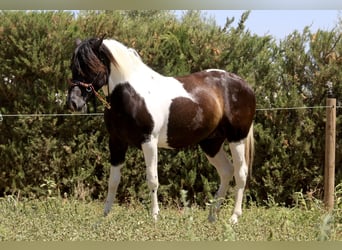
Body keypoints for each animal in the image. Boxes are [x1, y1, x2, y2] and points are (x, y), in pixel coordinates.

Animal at [66, 36, 256, 224]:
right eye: (73, 67)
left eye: (90, 67)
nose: (73, 103)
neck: (133, 95)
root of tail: (244, 85)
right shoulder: (116, 142)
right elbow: (113, 180)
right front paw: (104, 217)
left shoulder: (149, 141)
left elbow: (152, 179)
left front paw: (154, 216)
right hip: (211, 143)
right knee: (226, 171)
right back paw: (212, 216)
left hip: (236, 138)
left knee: (240, 173)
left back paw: (233, 218)